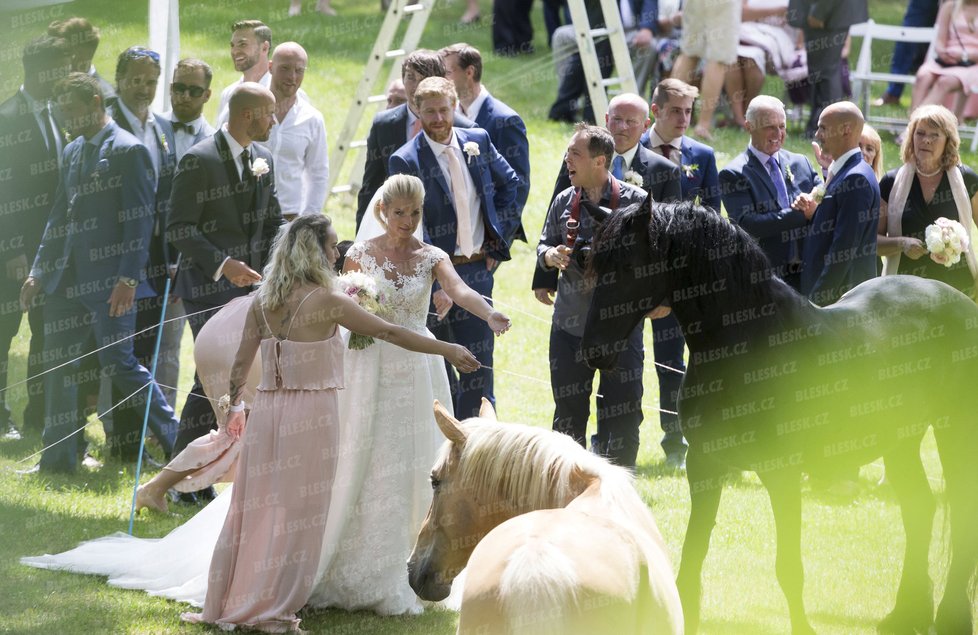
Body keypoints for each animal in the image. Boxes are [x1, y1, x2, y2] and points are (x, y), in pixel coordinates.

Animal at [580, 200, 976, 635]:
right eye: (594, 264)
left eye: (627, 265)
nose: (594, 352)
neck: (749, 343)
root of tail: (960, 302)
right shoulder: (704, 466)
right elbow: (692, 560)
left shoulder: (782, 472)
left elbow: (789, 568)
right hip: (901, 439)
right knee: (919, 507)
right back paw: (905, 615)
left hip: (955, 430)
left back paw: (949, 616)